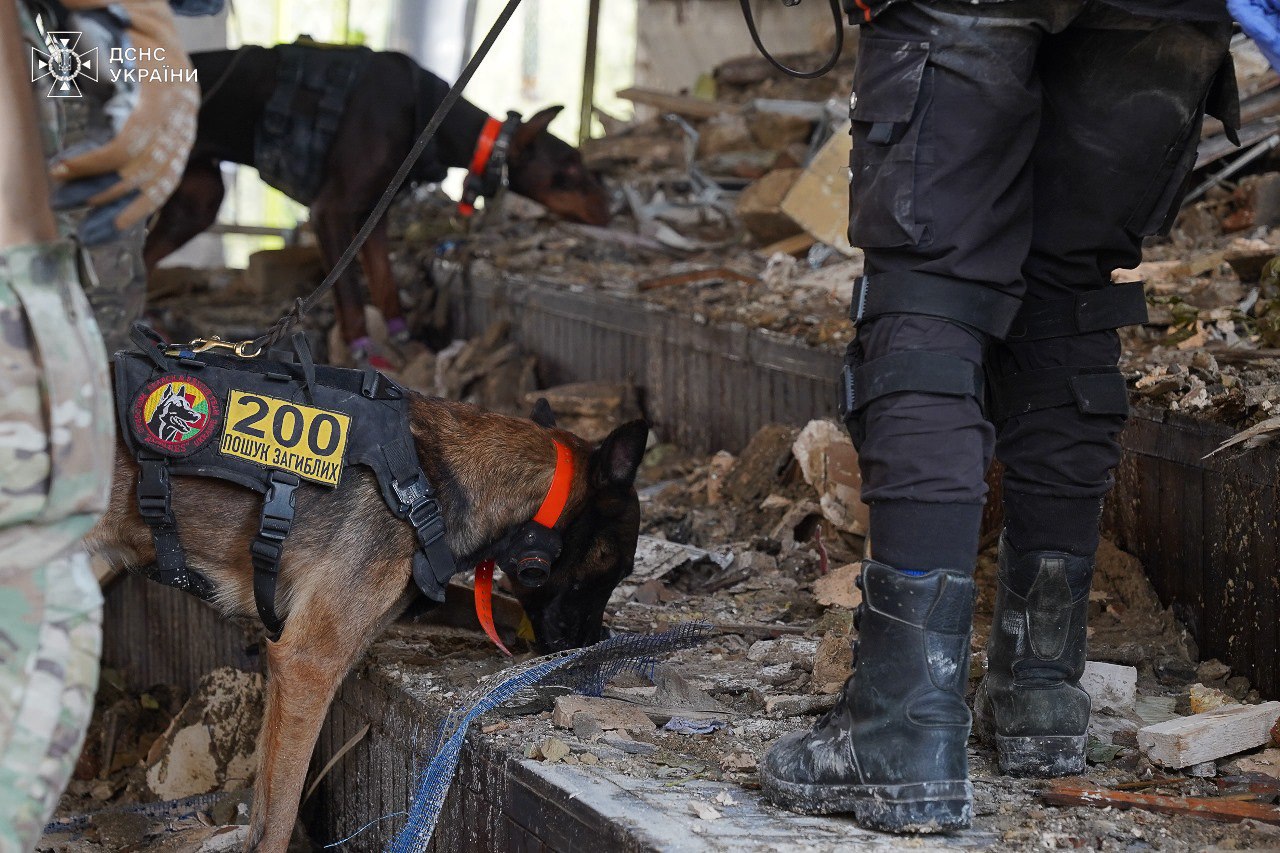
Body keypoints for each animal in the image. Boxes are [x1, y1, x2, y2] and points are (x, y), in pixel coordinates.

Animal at [142, 43, 611, 361]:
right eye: (570, 168)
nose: (608, 208)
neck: (431, 117)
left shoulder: (372, 215)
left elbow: (384, 283)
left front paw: (403, 337)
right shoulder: (330, 211)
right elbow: (349, 295)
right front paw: (364, 351)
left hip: (197, 199)